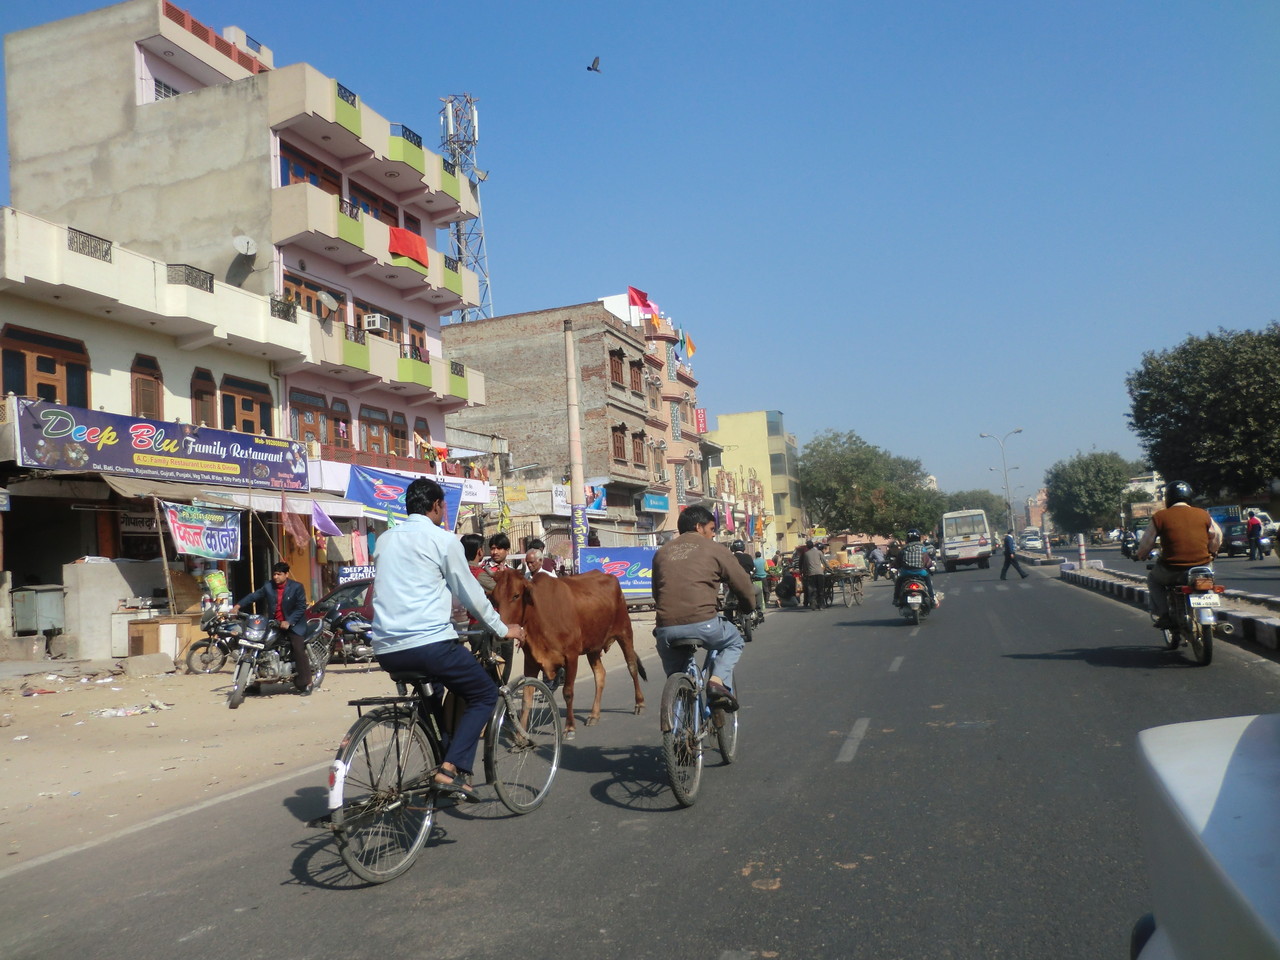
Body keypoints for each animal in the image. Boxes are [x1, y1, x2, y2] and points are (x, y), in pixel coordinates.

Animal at [488, 568, 650, 742]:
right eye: (494, 599)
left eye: (516, 595)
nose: (500, 635)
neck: (540, 615)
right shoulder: (530, 661)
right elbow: (527, 697)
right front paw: (520, 734)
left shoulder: (571, 657)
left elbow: (568, 692)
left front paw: (570, 727)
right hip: (593, 648)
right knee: (600, 674)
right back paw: (594, 715)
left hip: (625, 633)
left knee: (632, 666)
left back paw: (640, 704)